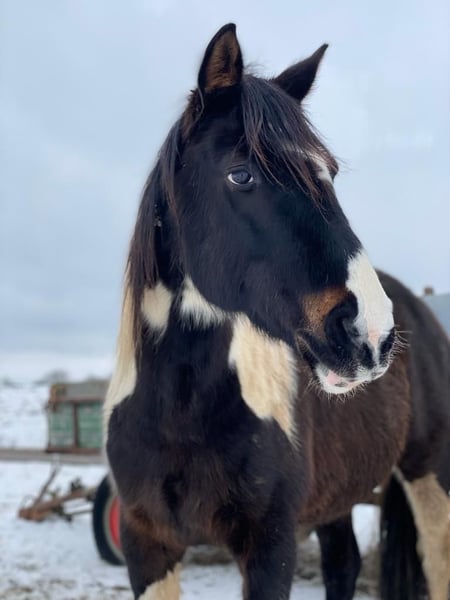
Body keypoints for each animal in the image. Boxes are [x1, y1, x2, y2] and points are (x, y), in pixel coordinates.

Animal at [104, 23, 450, 599]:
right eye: (241, 176)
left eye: (329, 173)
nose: (371, 333)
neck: (179, 411)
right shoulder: (145, 542)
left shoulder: (271, 546)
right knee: (343, 563)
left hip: (429, 474)